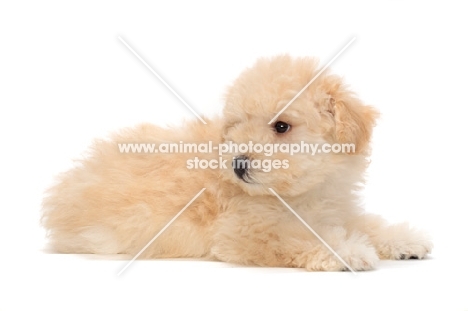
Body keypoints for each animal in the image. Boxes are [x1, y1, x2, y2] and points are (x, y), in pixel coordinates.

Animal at [43, 55, 432, 270]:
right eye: (235, 127)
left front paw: (403, 240)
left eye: (281, 126)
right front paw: (348, 250)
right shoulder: (245, 234)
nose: (238, 164)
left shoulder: (336, 209)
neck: (300, 194)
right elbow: (297, 238)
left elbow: (367, 223)